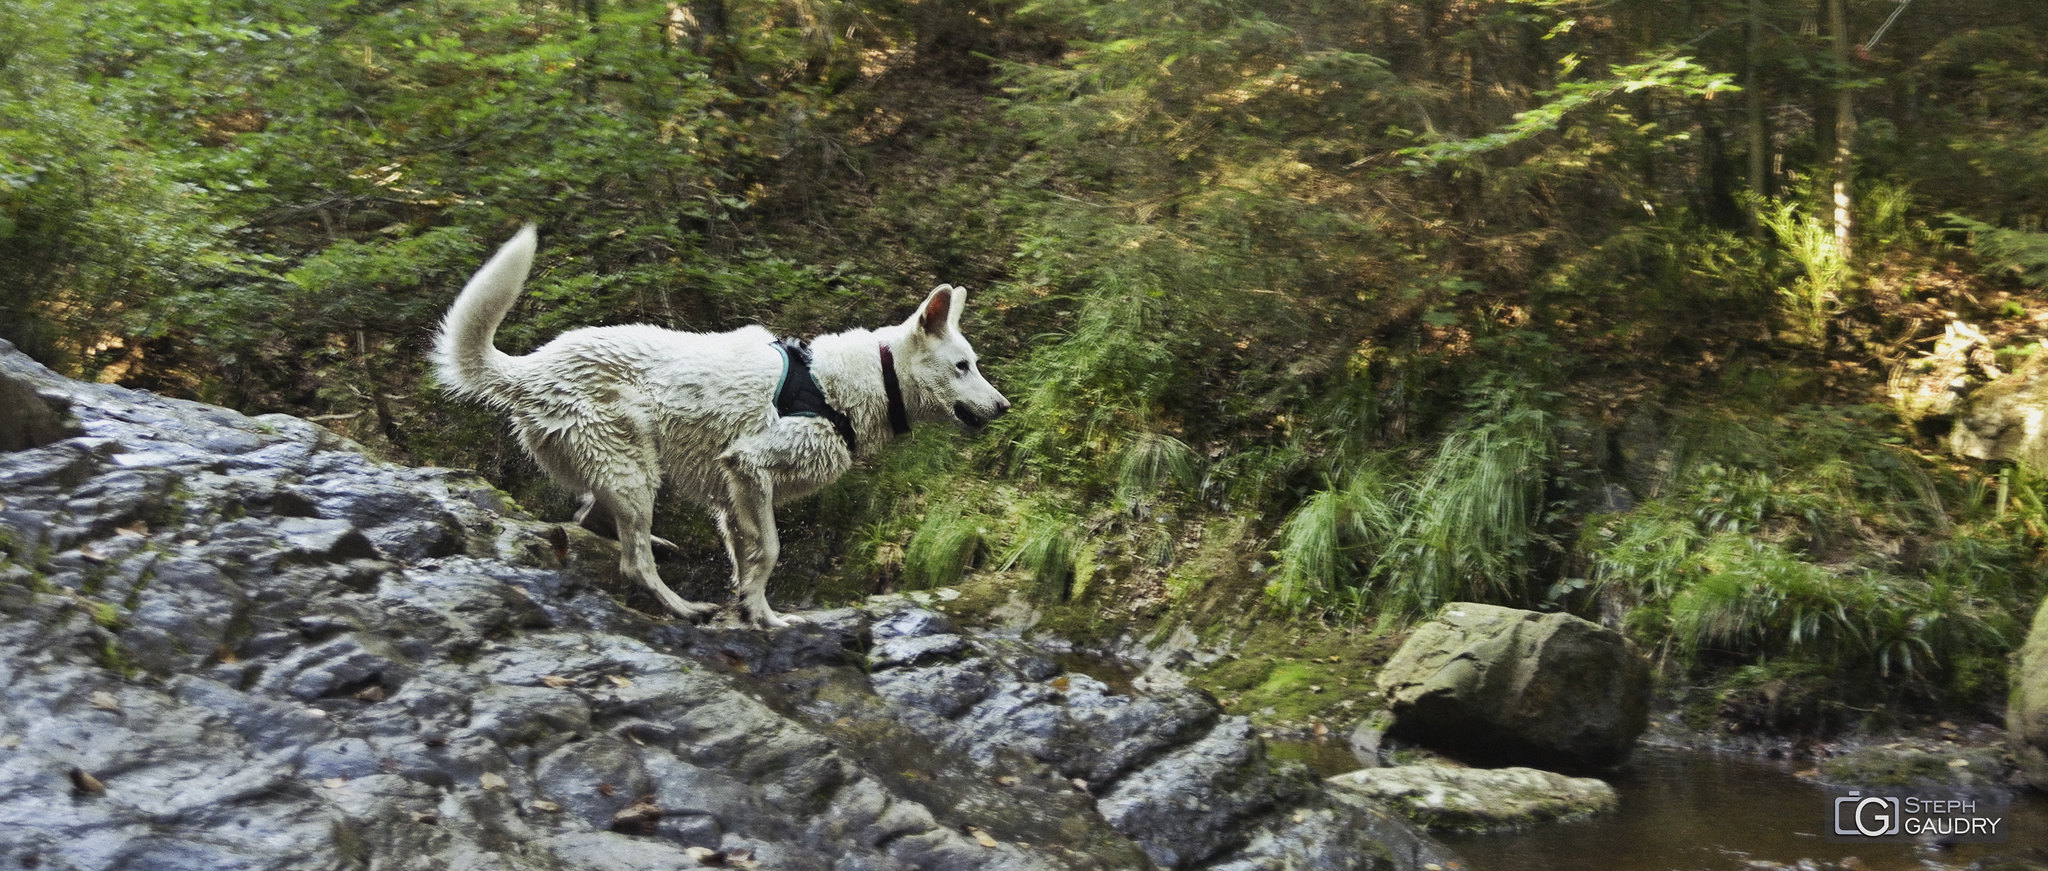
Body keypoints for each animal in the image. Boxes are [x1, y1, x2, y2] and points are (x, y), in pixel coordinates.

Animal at [432, 225, 1007, 623]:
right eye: (963, 366)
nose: (1004, 407)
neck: (844, 384)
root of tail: (531, 369)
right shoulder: (750, 466)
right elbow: (770, 551)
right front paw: (765, 617)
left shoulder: (735, 498)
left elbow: (749, 559)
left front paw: (754, 609)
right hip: (632, 469)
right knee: (632, 562)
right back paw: (684, 607)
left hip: (623, 468)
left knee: (590, 520)